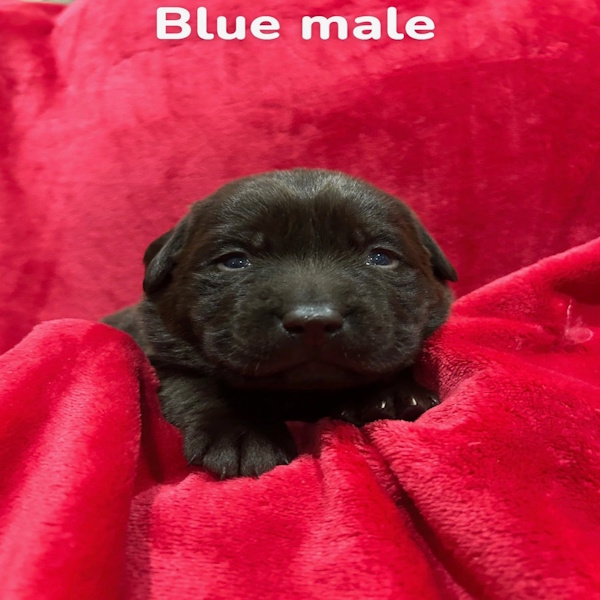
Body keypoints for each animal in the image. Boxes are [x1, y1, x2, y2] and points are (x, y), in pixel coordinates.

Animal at [103, 169, 457, 479]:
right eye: (234, 260)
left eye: (381, 257)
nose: (313, 321)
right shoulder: (160, 352)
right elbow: (193, 382)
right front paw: (243, 431)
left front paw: (393, 394)